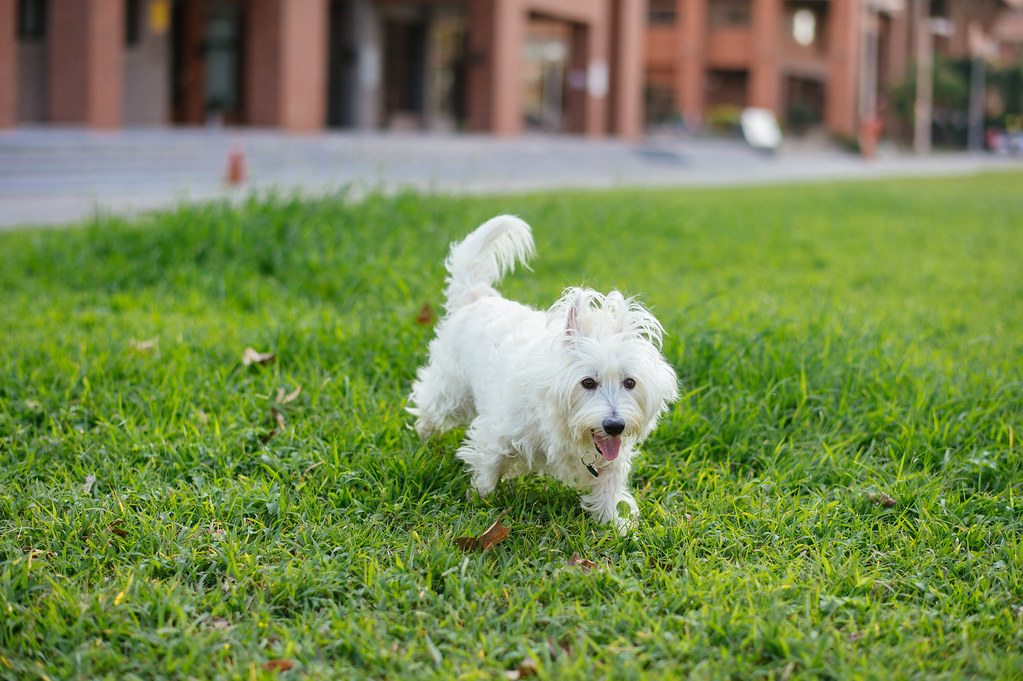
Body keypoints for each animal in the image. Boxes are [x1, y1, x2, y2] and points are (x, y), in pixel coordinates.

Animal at [407, 214, 679, 527]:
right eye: (588, 382)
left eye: (630, 382)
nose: (615, 425)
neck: (561, 424)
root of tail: (476, 297)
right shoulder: (497, 433)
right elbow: (488, 468)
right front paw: (479, 502)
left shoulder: (610, 461)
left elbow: (609, 490)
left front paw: (616, 525)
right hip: (450, 390)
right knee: (429, 407)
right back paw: (423, 438)